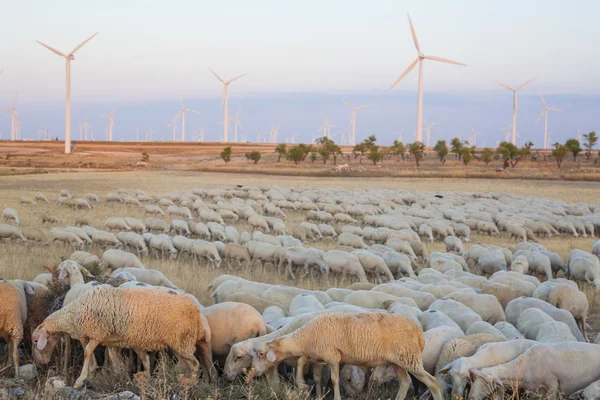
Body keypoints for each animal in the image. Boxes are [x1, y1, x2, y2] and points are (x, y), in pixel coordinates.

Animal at [32, 284, 207, 388]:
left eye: (35, 341)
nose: (40, 363)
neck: (75, 313)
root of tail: (196, 311)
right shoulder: (108, 340)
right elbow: (111, 361)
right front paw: (106, 375)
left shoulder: (97, 333)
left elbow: (87, 352)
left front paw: (80, 380)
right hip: (173, 343)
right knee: (159, 361)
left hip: (183, 342)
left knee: (195, 365)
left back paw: (190, 383)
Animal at [251, 312, 442, 400]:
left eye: (260, 354)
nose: (253, 373)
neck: (304, 338)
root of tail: (419, 332)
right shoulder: (317, 355)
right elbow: (301, 362)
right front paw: (303, 385)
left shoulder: (332, 357)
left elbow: (335, 380)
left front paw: (335, 397)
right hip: (398, 361)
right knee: (405, 382)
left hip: (409, 358)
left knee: (432, 381)